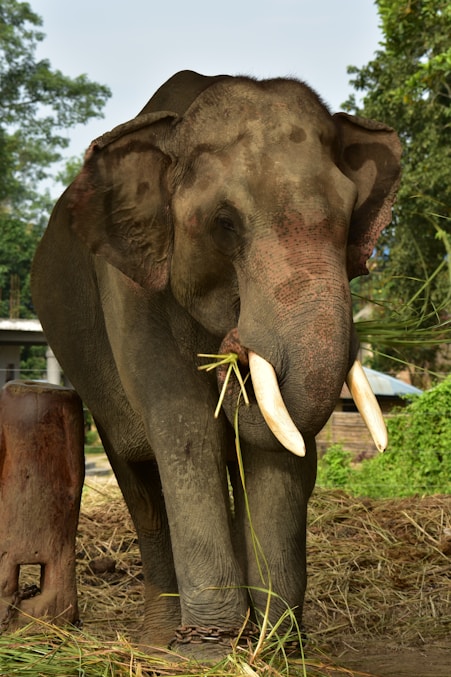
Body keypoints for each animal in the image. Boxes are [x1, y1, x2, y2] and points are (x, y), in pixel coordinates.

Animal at [31, 70, 401, 657]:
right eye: (225, 224)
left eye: (349, 222)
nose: (235, 351)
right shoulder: (133, 289)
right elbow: (185, 426)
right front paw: (210, 650)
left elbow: (280, 447)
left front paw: (276, 647)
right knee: (140, 483)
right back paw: (160, 639)